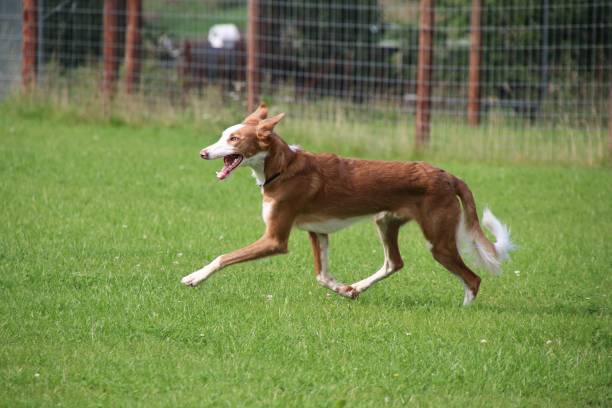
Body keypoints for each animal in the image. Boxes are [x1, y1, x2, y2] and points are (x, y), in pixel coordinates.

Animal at [180, 103, 512, 304]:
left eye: (234, 139)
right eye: (223, 135)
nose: (202, 153)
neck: (282, 168)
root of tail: (448, 175)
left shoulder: (275, 239)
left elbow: (222, 256)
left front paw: (194, 277)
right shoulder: (318, 232)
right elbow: (322, 275)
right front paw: (342, 289)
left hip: (438, 241)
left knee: (473, 278)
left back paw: (465, 310)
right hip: (385, 221)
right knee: (394, 262)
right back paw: (357, 287)